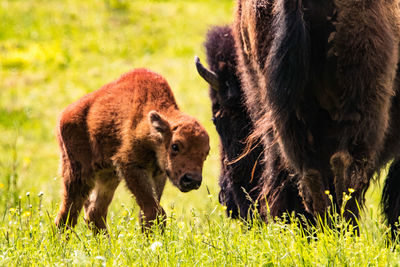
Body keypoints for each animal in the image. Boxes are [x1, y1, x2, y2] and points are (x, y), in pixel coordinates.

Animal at [55, 69, 211, 232]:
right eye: (175, 146)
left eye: (206, 154)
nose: (192, 180)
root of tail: (64, 115)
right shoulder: (130, 165)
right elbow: (153, 210)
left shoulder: (158, 174)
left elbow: (151, 212)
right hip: (78, 174)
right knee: (68, 214)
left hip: (108, 176)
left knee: (94, 212)